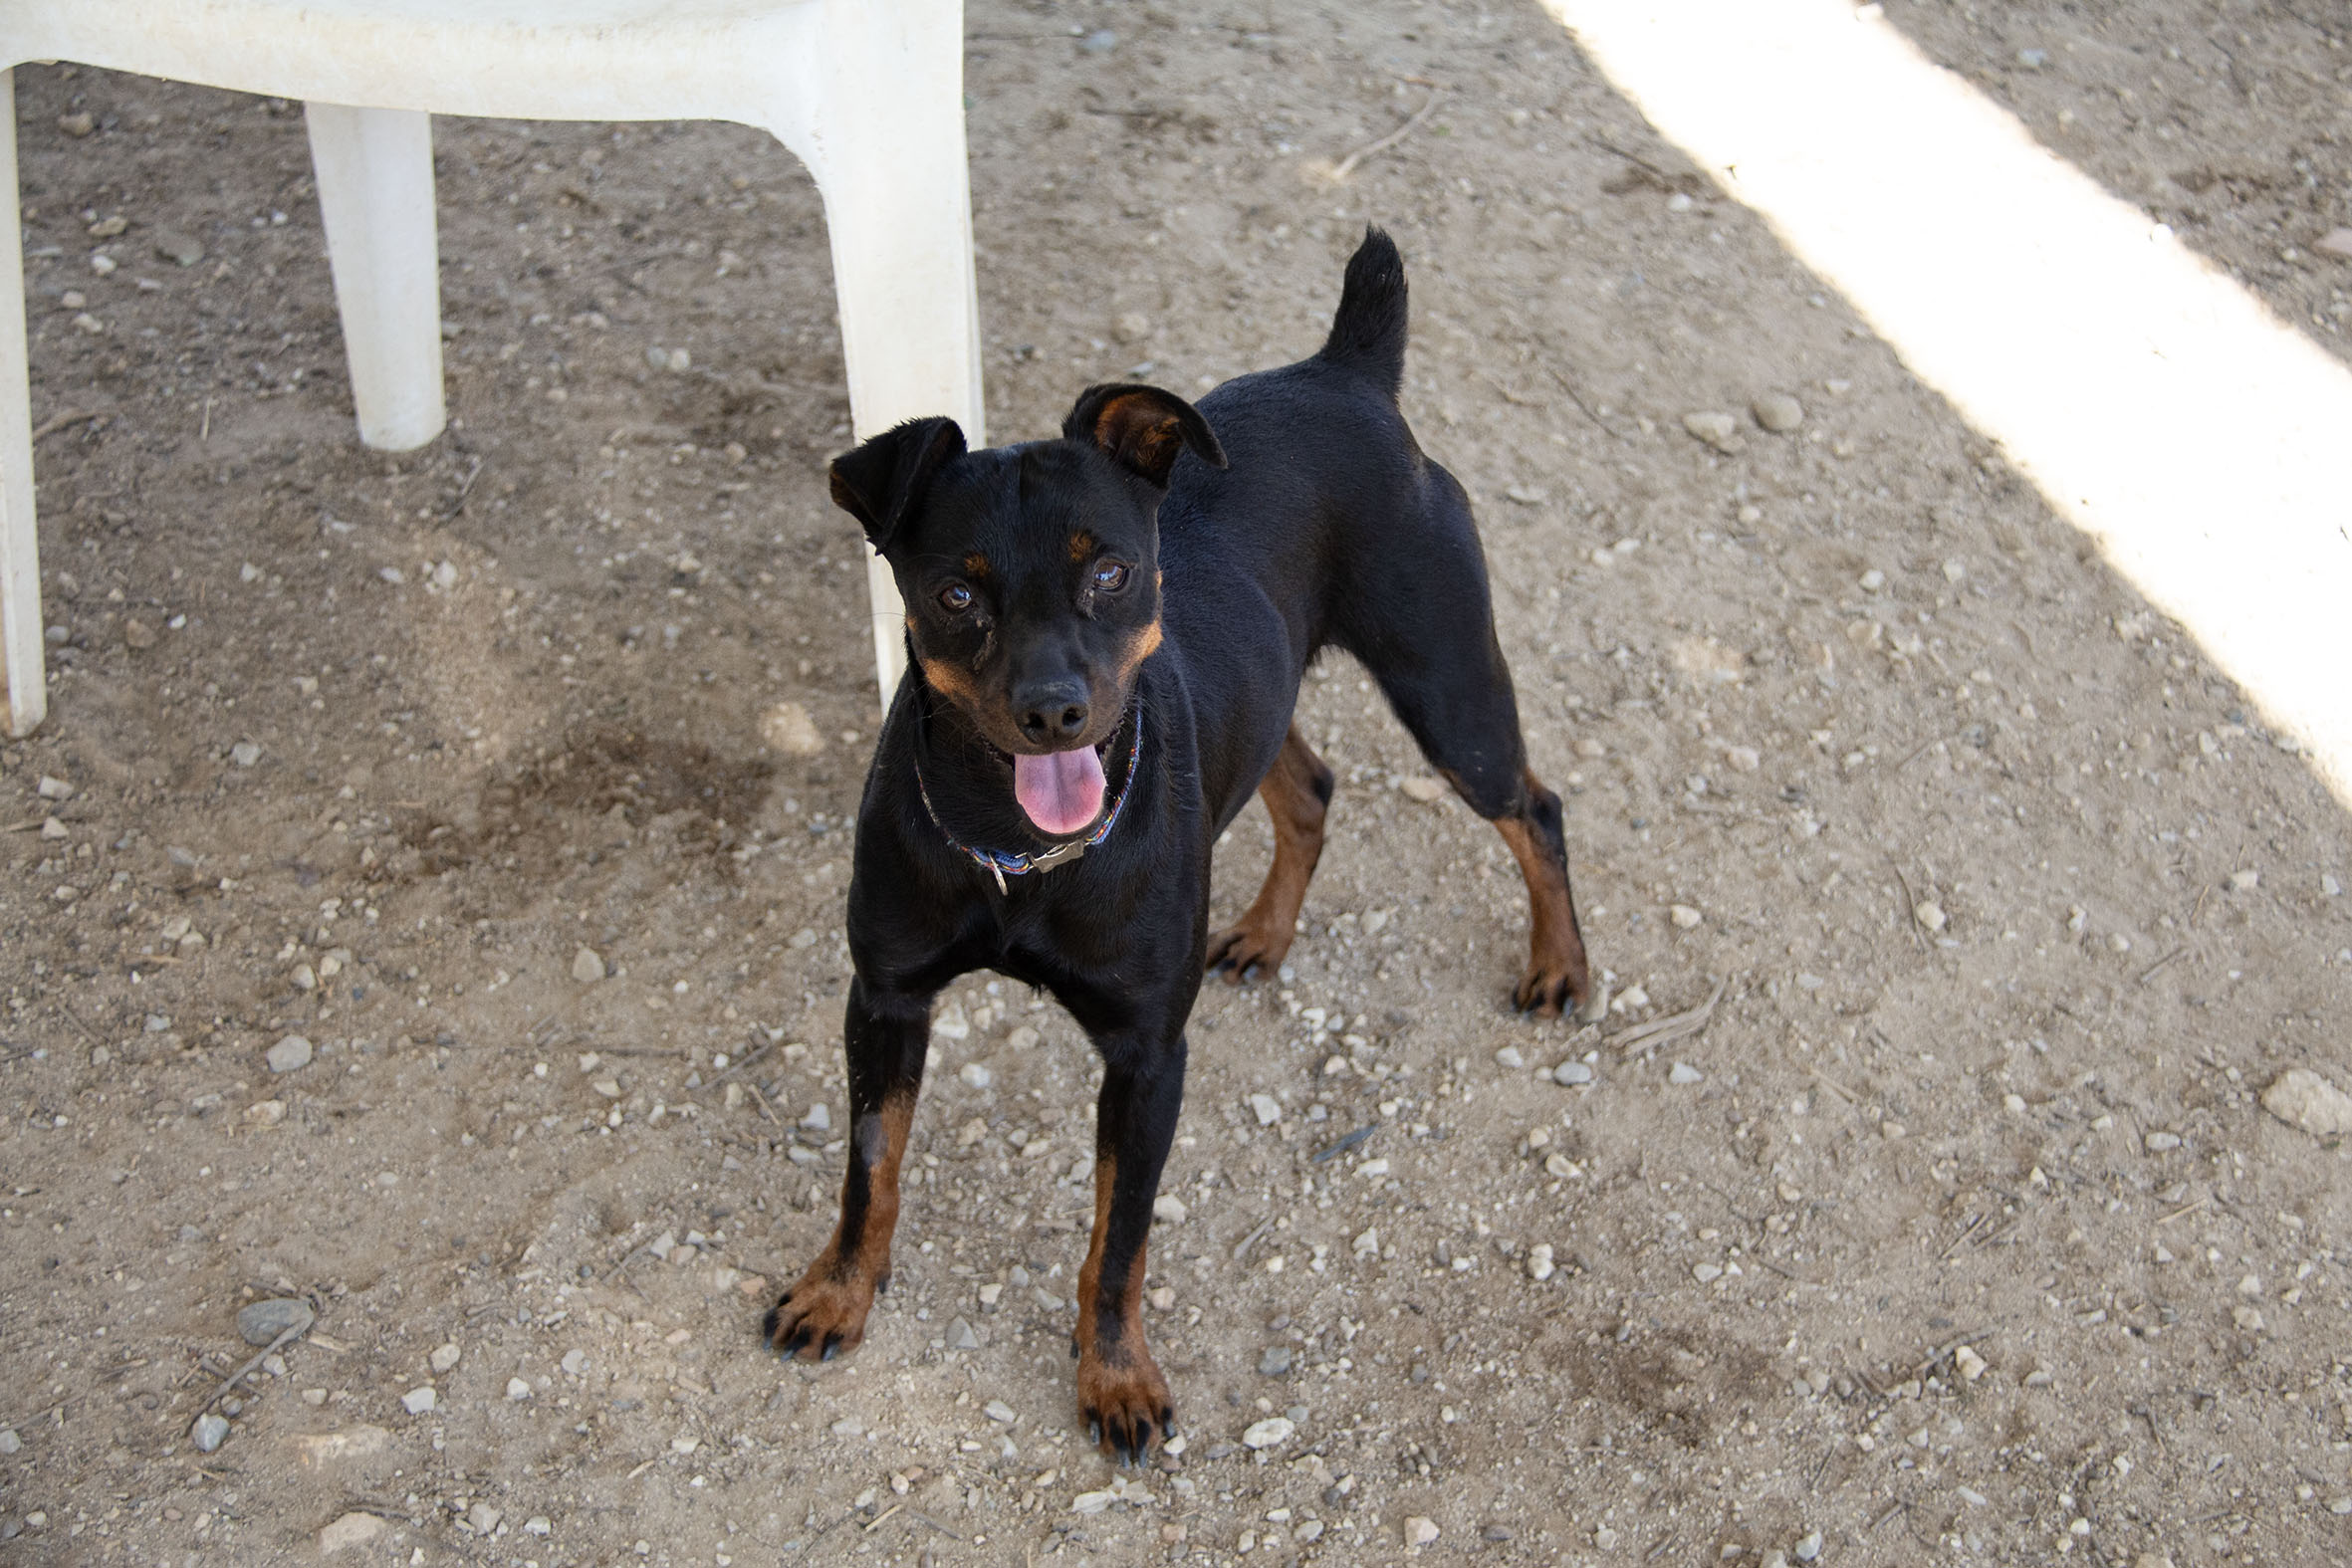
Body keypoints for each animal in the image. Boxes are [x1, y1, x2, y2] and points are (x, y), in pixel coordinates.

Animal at [764, 229, 1600, 1463]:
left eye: (1109, 570)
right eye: (956, 592)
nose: (1055, 710)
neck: (1017, 857)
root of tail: (1341, 373)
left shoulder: (1148, 1058)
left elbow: (1118, 1241)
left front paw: (1115, 1377)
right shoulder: (886, 1000)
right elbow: (871, 1171)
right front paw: (838, 1293)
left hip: (1449, 693)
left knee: (1534, 811)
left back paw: (1558, 967)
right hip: (1276, 691)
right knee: (1310, 788)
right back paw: (1263, 931)